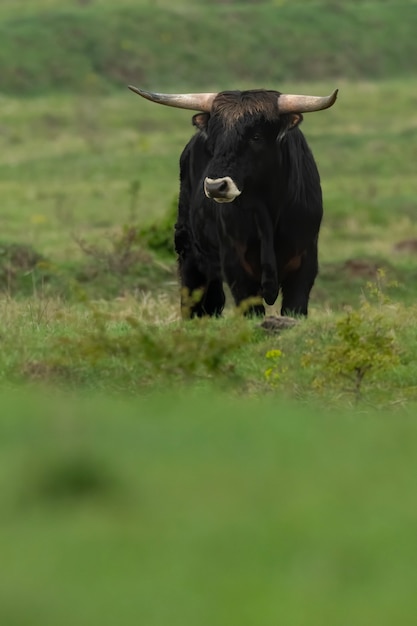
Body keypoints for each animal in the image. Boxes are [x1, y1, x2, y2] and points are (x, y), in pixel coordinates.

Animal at [128, 85, 336, 316]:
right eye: (214, 140)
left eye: (256, 136)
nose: (215, 186)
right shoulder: (236, 266)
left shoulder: (304, 265)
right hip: (189, 249)